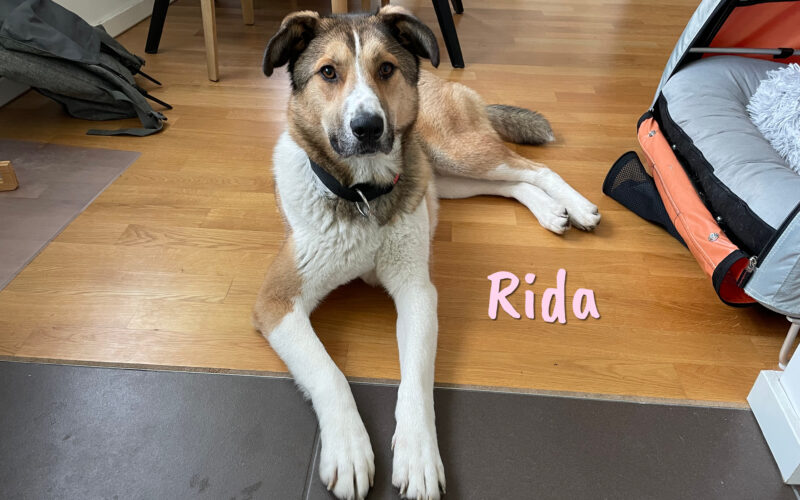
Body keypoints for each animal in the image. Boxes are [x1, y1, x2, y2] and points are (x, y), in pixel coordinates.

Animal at [253, 6, 600, 499]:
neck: (363, 196)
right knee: (513, 184)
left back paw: (578, 206)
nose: (368, 127)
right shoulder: (276, 302)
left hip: (455, 151)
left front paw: (417, 455)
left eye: (385, 69)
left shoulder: (416, 291)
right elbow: (328, 372)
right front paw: (349, 448)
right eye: (328, 72)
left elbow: (416, 377)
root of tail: (441, 79)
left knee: (532, 168)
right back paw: (552, 211)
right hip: (447, 179)